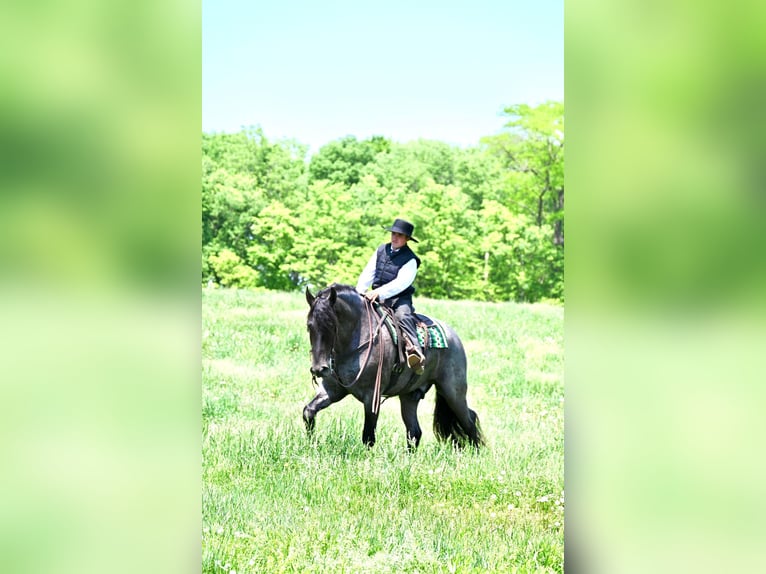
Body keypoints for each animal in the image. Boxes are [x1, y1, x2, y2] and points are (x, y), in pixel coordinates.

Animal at [304, 284, 484, 450]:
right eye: (309, 325)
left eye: (332, 324)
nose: (319, 369)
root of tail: (453, 336)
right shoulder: (333, 390)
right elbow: (308, 411)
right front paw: (312, 443)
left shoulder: (372, 396)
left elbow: (368, 435)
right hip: (410, 395)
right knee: (414, 431)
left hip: (453, 392)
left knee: (469, 421)